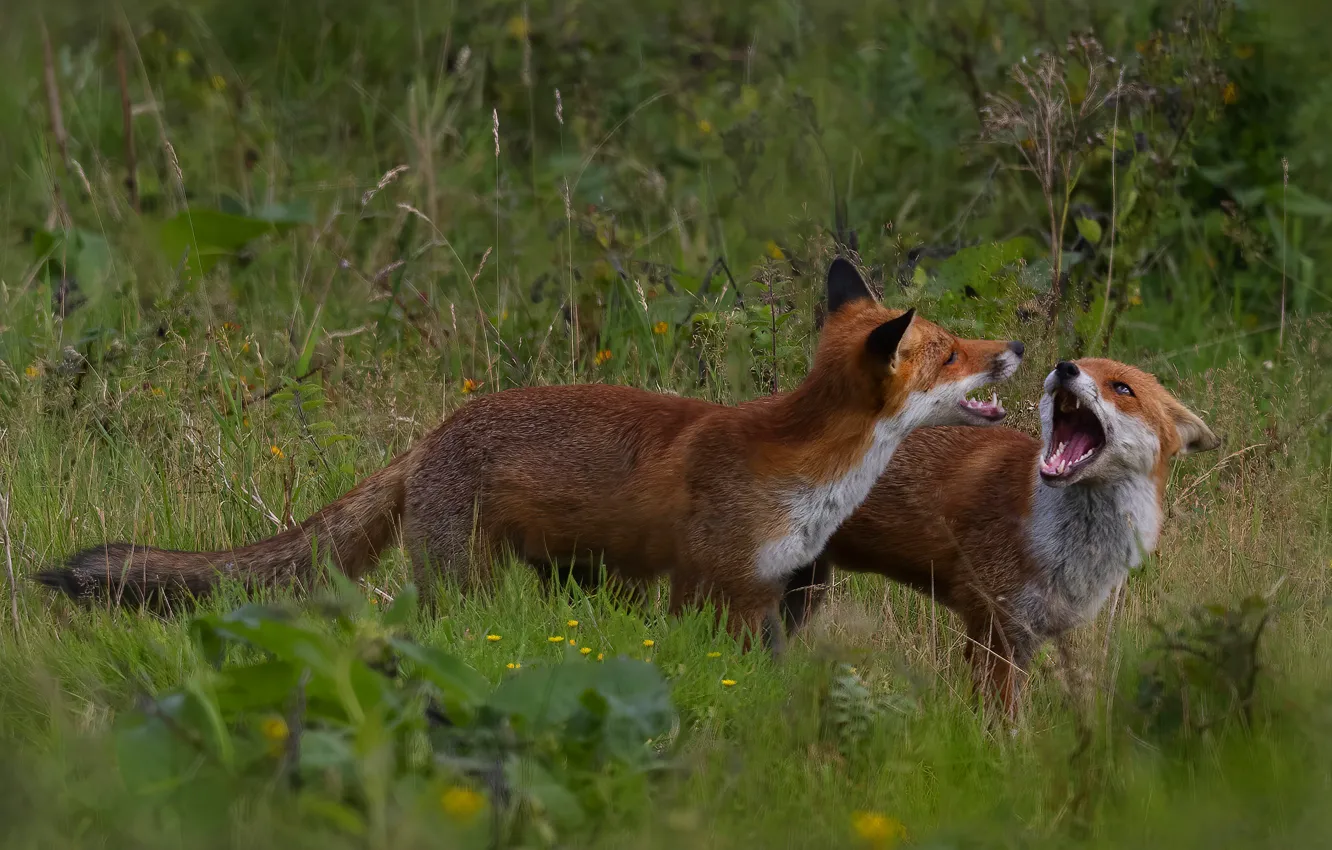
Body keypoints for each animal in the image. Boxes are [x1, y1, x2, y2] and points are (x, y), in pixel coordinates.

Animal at [38, 259, 1017, 644]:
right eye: (951, 353)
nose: (1014, 348)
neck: (809, 475)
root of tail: (432, 432)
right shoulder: (715, 589)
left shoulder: (785, 589)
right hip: (460, 582)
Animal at [777, 357, 1220, 714]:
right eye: (1080, 363)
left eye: (1123, 388)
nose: (1065, 367)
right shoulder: (993, 624)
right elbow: (1001, 725)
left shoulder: (1027, 635)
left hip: (804, 591)